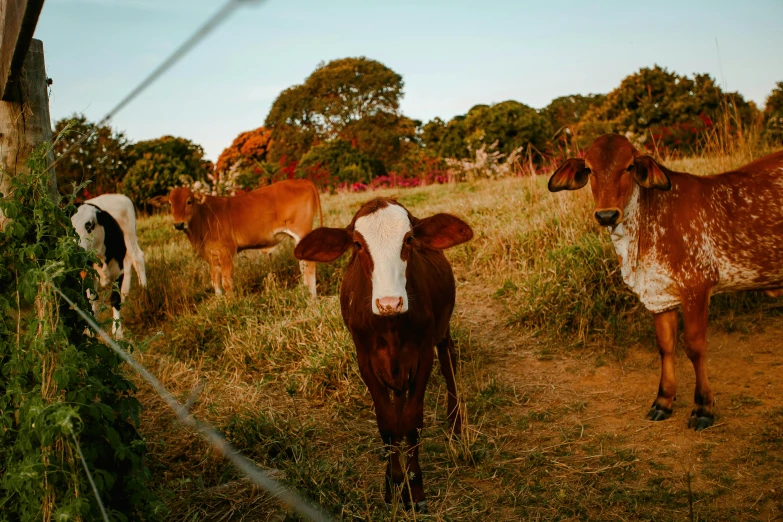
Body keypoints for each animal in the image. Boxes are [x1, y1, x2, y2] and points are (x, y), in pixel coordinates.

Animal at [73, 192, 149, 338]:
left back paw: (144, 290)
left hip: (130, 236)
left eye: (89, 225)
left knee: (137, 258)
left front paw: (117, 332)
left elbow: (115, 299)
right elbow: (91, 298)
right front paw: (91, 328)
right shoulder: (88, 274)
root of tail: (117, 195)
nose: (77, 249)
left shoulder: (118, 272)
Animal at [168, 177, 322, 294]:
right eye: (170, 204)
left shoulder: (226, 252)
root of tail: (302, 180)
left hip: (302, 232)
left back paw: (311, 296)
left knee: (309, 264)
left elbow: (227, 283)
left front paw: (230, 304)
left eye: (189, 201)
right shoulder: (212, 257)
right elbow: (215, 282)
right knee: (302, 264)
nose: (178, 224)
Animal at [294, 195, 474, 508]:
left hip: (442, 331)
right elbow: (388, 422)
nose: (390, 302)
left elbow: (412, 421)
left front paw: (415, 489)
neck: (391, 325)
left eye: (409, 238)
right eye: (357, 244)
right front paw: (392, 483)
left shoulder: (423, 354)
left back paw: (455, 426)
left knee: (448, 360)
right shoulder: (365, 360)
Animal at [548, 132, 783, 428]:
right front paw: (663, 400)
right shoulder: (658, 295)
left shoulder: (697, 286)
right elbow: (665, 346)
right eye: (589, 169)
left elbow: (694, 347)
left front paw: (703, 407)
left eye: (629, 167)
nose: (606, 215)